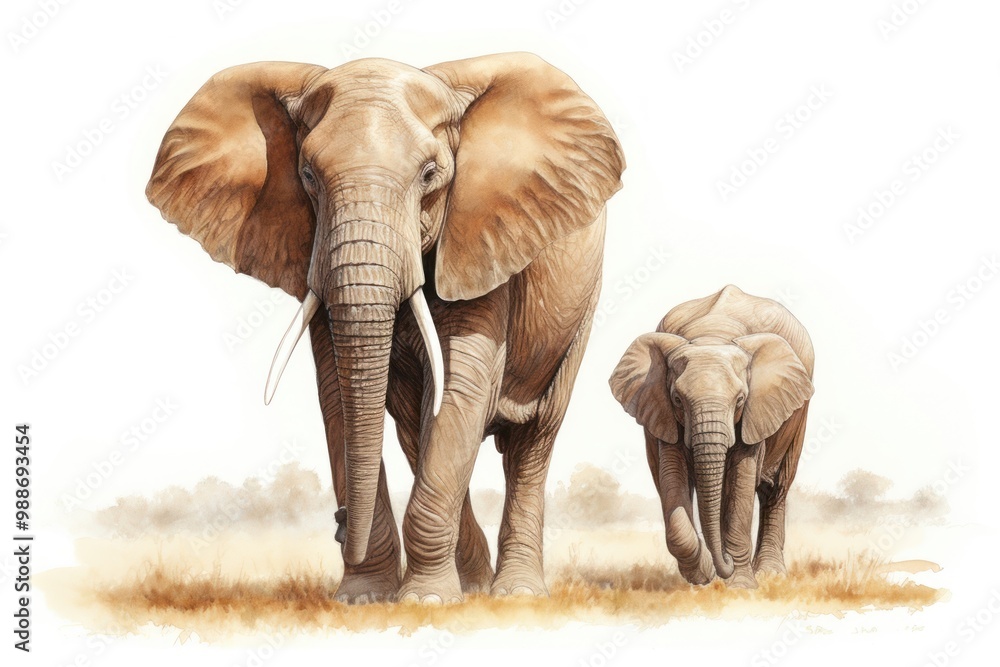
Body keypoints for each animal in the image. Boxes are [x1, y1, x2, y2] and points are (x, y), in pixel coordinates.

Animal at [146, 53, 625, 603]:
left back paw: (515, 593)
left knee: (533, 441)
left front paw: (426, 601)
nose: (338, 522)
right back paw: (473, 585)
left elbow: (459, 386)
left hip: (579, 310)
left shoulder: (480, 240)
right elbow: (340, 395)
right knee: (418, 432)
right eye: (307, 175)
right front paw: (366, 598)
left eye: (431, 174)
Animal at [609, 285, 814, 589]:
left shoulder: (756, 409)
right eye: (677, 399)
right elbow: (672, 473)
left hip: (799, 411)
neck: (712, 334)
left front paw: (740, 586)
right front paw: (702, 573)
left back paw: (769, 574)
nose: (723, 564)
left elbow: (742, 476)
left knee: (776, 488)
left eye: (740, 399)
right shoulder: (663, 410)